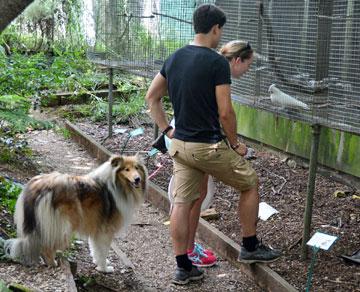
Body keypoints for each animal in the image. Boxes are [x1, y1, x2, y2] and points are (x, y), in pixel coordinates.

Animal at [5, 155, 146, 274]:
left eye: (137, 168)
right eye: (126, 169)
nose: (137, 179)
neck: (116, 185)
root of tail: (37, 187)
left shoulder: (96, 229)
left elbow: (96, 249)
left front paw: (99, 263)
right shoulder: (106, 231)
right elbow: (103, 250)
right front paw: (104, 269)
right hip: (62, 227)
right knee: (46, 248)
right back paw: (53, 264)